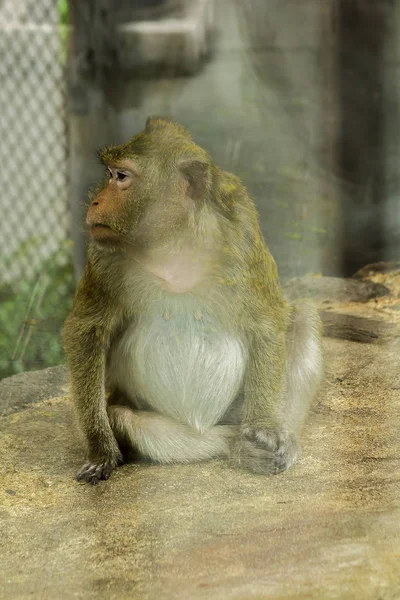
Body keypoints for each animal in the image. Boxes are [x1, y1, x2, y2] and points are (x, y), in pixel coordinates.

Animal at [64, 116, 324, 482]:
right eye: (110, 174)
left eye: (122, 177)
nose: (95, 202)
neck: (175, 240)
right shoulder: (105, 255)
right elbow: (86, 330)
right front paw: (101, 450)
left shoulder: (242, 228)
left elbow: (267, 321)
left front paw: (266, 427)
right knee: (128, 419)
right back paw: (235, 445)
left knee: (303, 316)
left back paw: (270, 442)